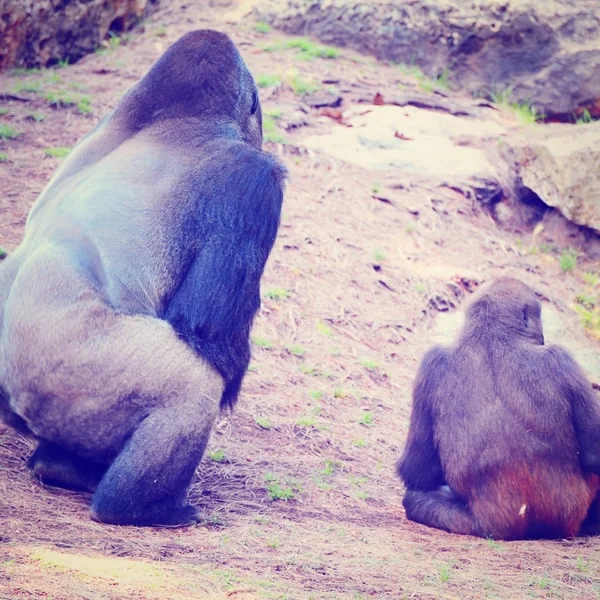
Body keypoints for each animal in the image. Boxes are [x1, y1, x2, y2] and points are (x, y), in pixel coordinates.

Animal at [0, 30, 288, 524]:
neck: (176, 116)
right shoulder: (253, 179)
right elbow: (207, 330)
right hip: (75, 376)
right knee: (193, 384)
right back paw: (143, 507)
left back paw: (61, 466)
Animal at [398, 276, 600, 540]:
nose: (543, 336)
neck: (491, 334)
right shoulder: (561, 358)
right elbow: (594, 455)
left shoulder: (431, 360)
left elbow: (417, 470)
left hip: (471, 523)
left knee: (415, 499)